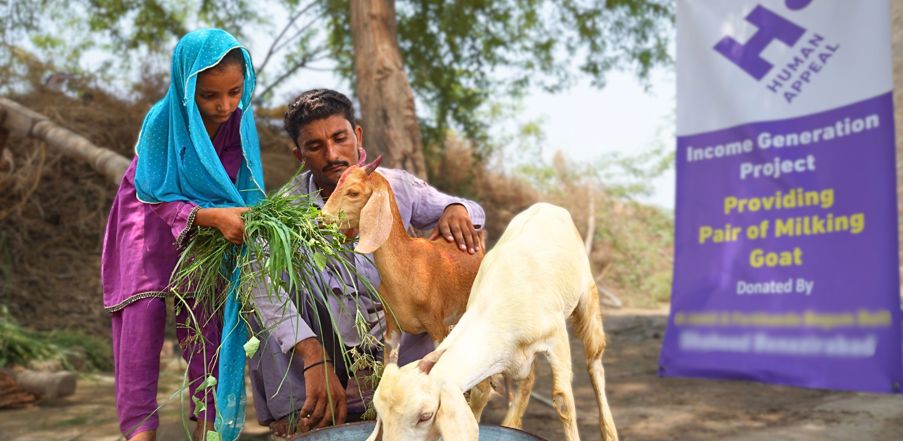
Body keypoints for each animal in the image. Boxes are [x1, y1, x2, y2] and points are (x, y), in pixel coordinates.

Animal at [367, 202, 618, 441]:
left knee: (595, 364)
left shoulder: (556, 339)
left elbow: (563, 399)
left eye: (425, 416)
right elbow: (480, 394)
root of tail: (549, 206)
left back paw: (609, 431)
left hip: (587, 295)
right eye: (380, 414)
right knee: (528, 379)